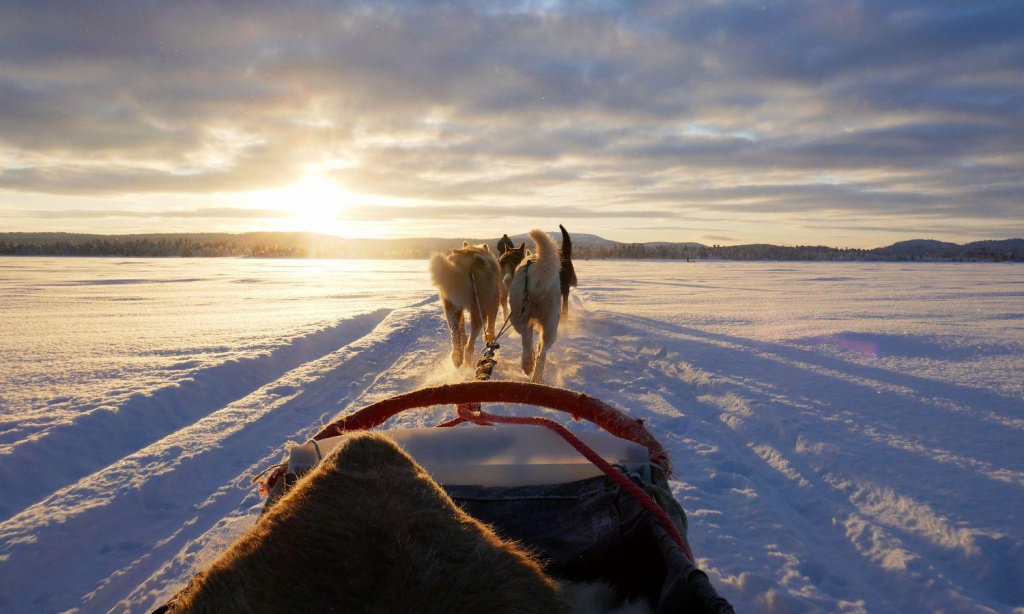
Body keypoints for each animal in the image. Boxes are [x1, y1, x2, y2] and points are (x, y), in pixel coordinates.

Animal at [503, 229, 561, 380]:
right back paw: (536, 376)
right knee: (543, 350)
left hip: (517, 316)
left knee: (526, 337)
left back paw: (527, 364)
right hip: (551, 324)